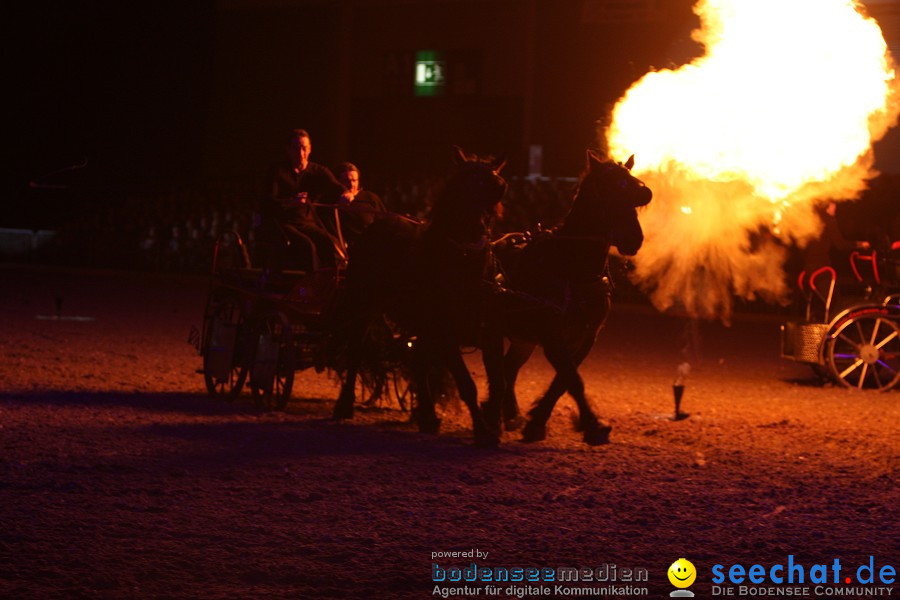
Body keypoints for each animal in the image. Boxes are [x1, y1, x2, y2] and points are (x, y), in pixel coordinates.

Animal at [486, 150, 652, 440]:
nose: (634, 239)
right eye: (609, 189)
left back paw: (511, 415)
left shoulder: (585, 337)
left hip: (523, 340)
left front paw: (537, 421)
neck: (571, 267)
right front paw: (594, 426)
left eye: (632, 186)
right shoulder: (552, 336)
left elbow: (564, 380)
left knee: (508, 369)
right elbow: (572, 379)